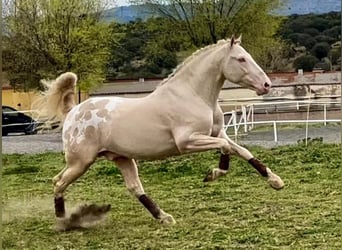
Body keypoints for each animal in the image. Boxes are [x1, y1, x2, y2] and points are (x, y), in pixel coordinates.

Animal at [36, 35, 284, 230]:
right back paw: (63, 222)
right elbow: (226, 150)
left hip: (120, 158)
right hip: (81, 162)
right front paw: (213, 174)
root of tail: (73, 111)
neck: (193, 94)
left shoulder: (218, 134)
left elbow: (243, 151)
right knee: (58, 182)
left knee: (134, 187)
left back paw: (163, 217)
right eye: (241, 59)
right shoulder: (188, 141)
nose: (266, 85)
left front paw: (275, 181)